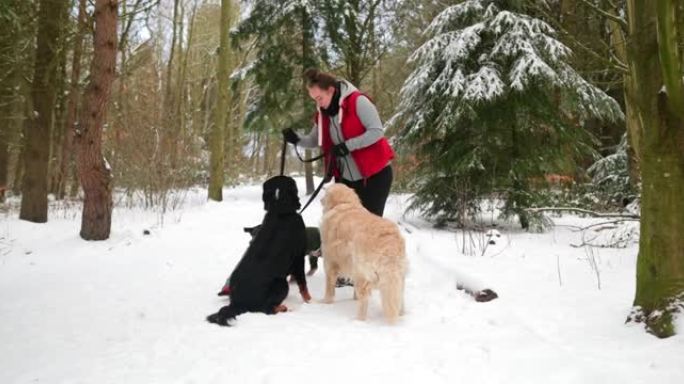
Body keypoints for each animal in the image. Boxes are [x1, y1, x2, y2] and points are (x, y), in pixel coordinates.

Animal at [203, 176, 310, 326]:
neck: (279, 209)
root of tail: (236, 303)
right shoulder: (299, 257)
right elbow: (303, 285)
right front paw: (311, 302)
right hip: (280, 283)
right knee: (267, 309)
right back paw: (284, 308)